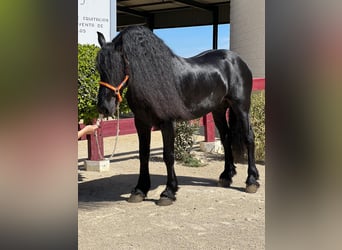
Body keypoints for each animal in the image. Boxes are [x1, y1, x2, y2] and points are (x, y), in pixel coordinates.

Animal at [95, 25, 260, 206]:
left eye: (118, 66)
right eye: (99, 69)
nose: (104, 107)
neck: (153, 79)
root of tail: (237, 60)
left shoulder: (168, 123)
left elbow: (168, 155)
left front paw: (168, 192)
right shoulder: (141, 123)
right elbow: (143, 155)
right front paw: (140, 190)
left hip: (241, 107)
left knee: (249, 137)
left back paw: (251, 181)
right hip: (218, 110)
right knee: (226, 138)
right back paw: (226, 176)